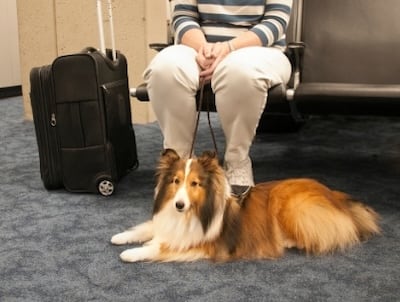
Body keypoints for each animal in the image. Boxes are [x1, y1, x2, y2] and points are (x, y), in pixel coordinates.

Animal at [111, 149, 380, 262]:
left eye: (195, 183)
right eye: (176, 181)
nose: (179, 204)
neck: (192, 213)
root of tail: (334, 195)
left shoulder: (203, 243)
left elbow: (159, 247)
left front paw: (131, 253)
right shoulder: (166, 223)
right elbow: (147, 228)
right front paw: (120, 237)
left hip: (293, 206)